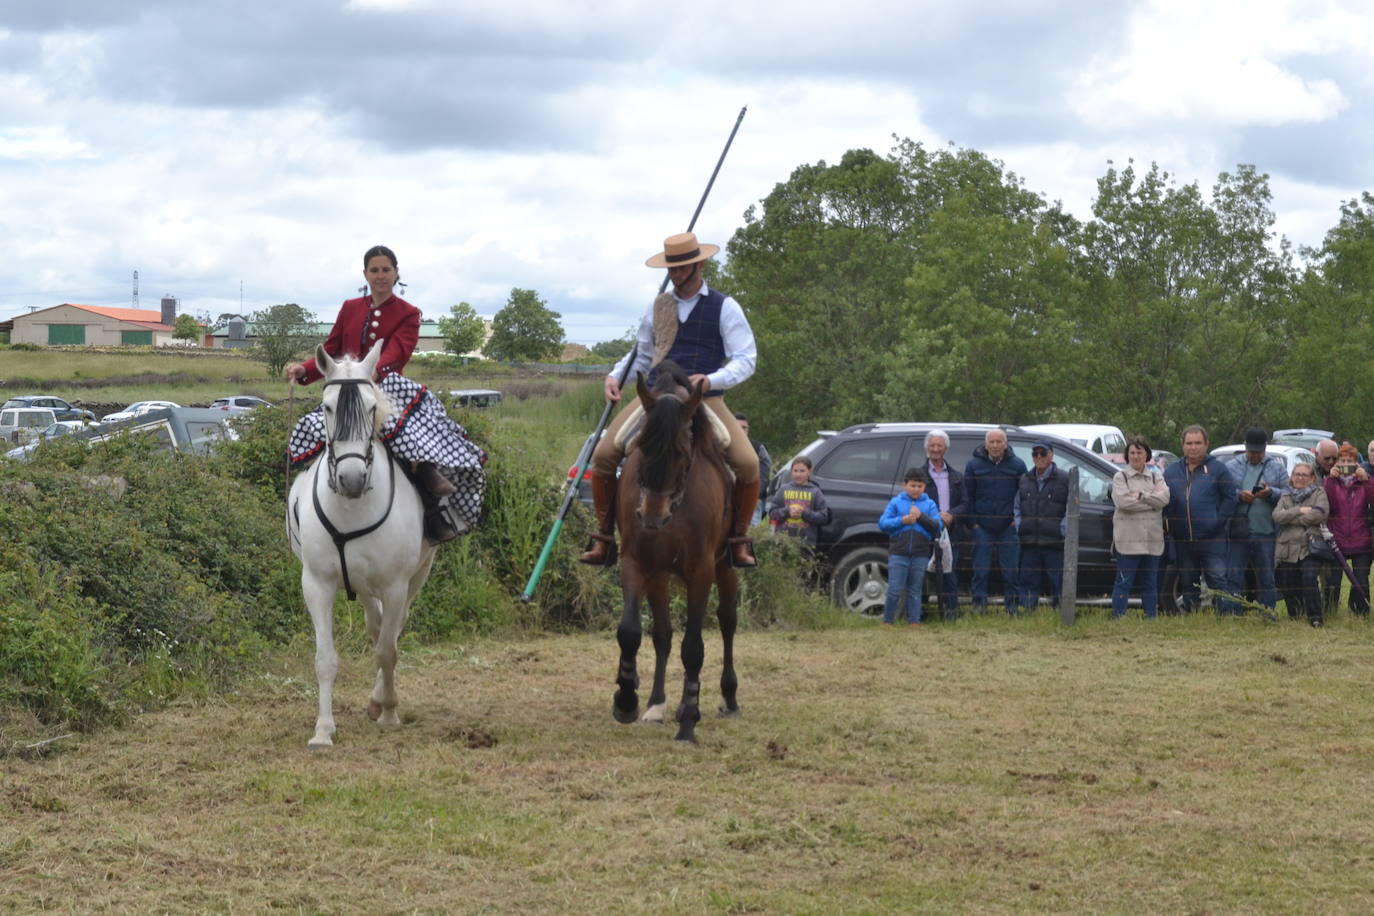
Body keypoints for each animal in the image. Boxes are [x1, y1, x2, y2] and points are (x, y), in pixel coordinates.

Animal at [287, 340, 436, 747]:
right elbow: (325, 658)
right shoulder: (317, 584)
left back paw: (379, 701)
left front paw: (389, 711)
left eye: (372, 408)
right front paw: (323, 730)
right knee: (376, 623)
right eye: (327, 406)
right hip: (364, 586)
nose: (352, 480)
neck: (351, 509)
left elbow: (388, 651)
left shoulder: (396, 586)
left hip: (417, 576)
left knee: (392, 631)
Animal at [612, 359, 741, 747]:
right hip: (659, 575)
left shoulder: (701, 571)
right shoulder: (636, 563)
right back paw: (657, 705)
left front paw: (688, 722)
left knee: (728, 621)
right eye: (640, 445)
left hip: (726, 567)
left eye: (683, 454)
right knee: (663, 634)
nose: (652, 517)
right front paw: (626, 699)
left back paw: (728, 698)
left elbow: (694, 647)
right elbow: (631, 632)